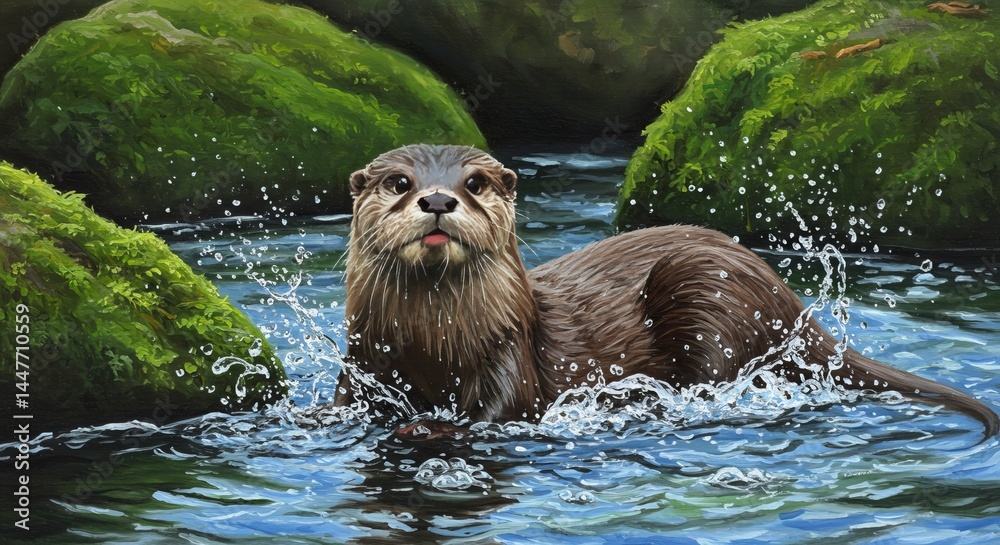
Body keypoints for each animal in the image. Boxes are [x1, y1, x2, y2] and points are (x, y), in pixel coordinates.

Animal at [334, 144, 999, 437]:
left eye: (473, 183)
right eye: (399, 182)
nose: (438, 200)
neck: (433, 342)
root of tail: (791, 304)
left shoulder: (509, 355)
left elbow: (497, 414)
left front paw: (429, 429)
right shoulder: (364, 358)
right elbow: (344, 406)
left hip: (706, 287)